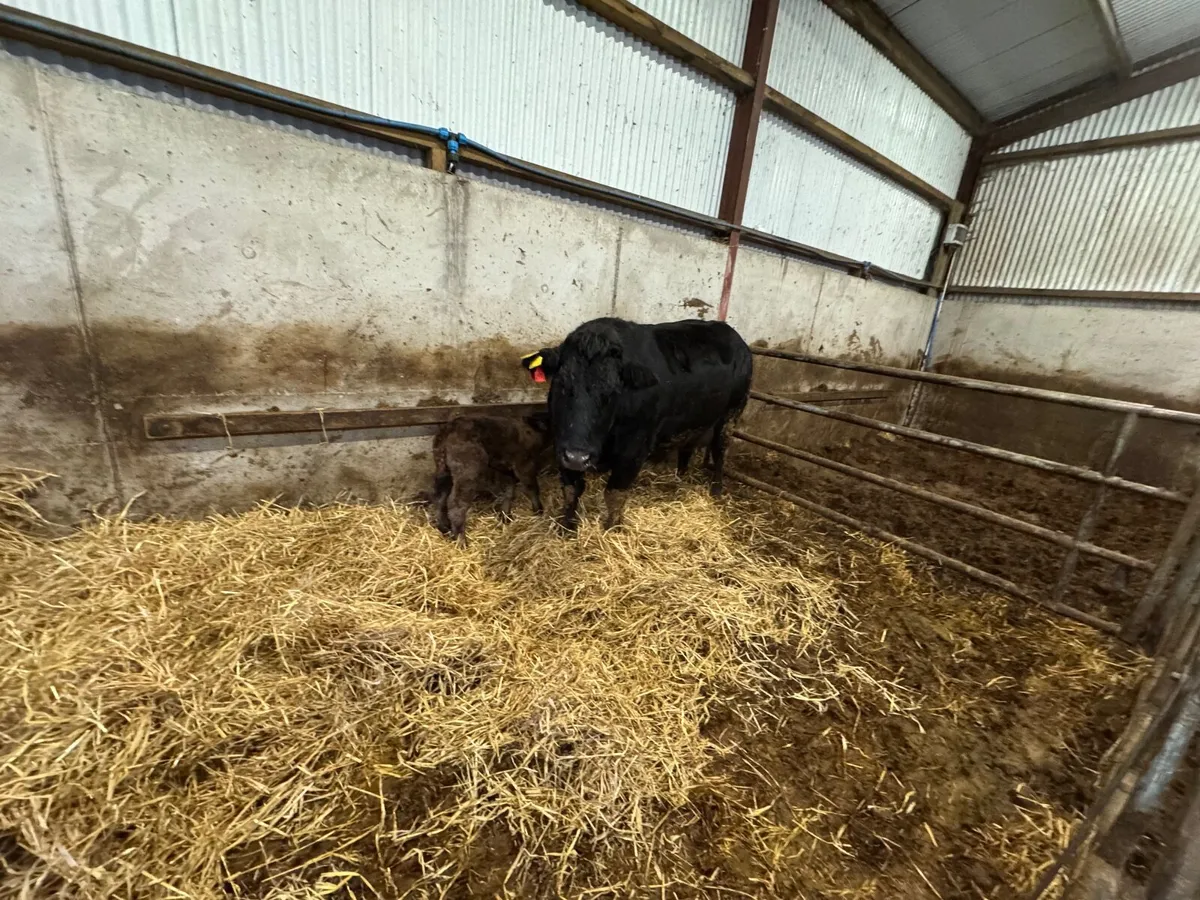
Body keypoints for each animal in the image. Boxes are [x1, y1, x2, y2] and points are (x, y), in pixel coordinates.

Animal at [430, 412, 552, 541]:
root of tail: (448, 430)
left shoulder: (507, 469)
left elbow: (509, 492)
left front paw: (506, 517)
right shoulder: (524, 464)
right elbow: (532, 487)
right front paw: (539, 511)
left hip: (443, 469)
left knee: (440, 498)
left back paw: (444, 529)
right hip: (467, 470)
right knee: (456, 503)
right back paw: (461, 540)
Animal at [521, 317, 752, 531]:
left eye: (612, 392)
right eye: (561, 384)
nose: (578, 457)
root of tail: (729, 331)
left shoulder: (634, 451)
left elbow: (614, 494)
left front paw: (612, 529)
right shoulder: (562, 444)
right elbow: (571, 491)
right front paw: (566, 527)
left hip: (732, 413)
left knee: (720, 449)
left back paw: (716, 490)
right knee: (688, 446)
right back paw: (680, 478)